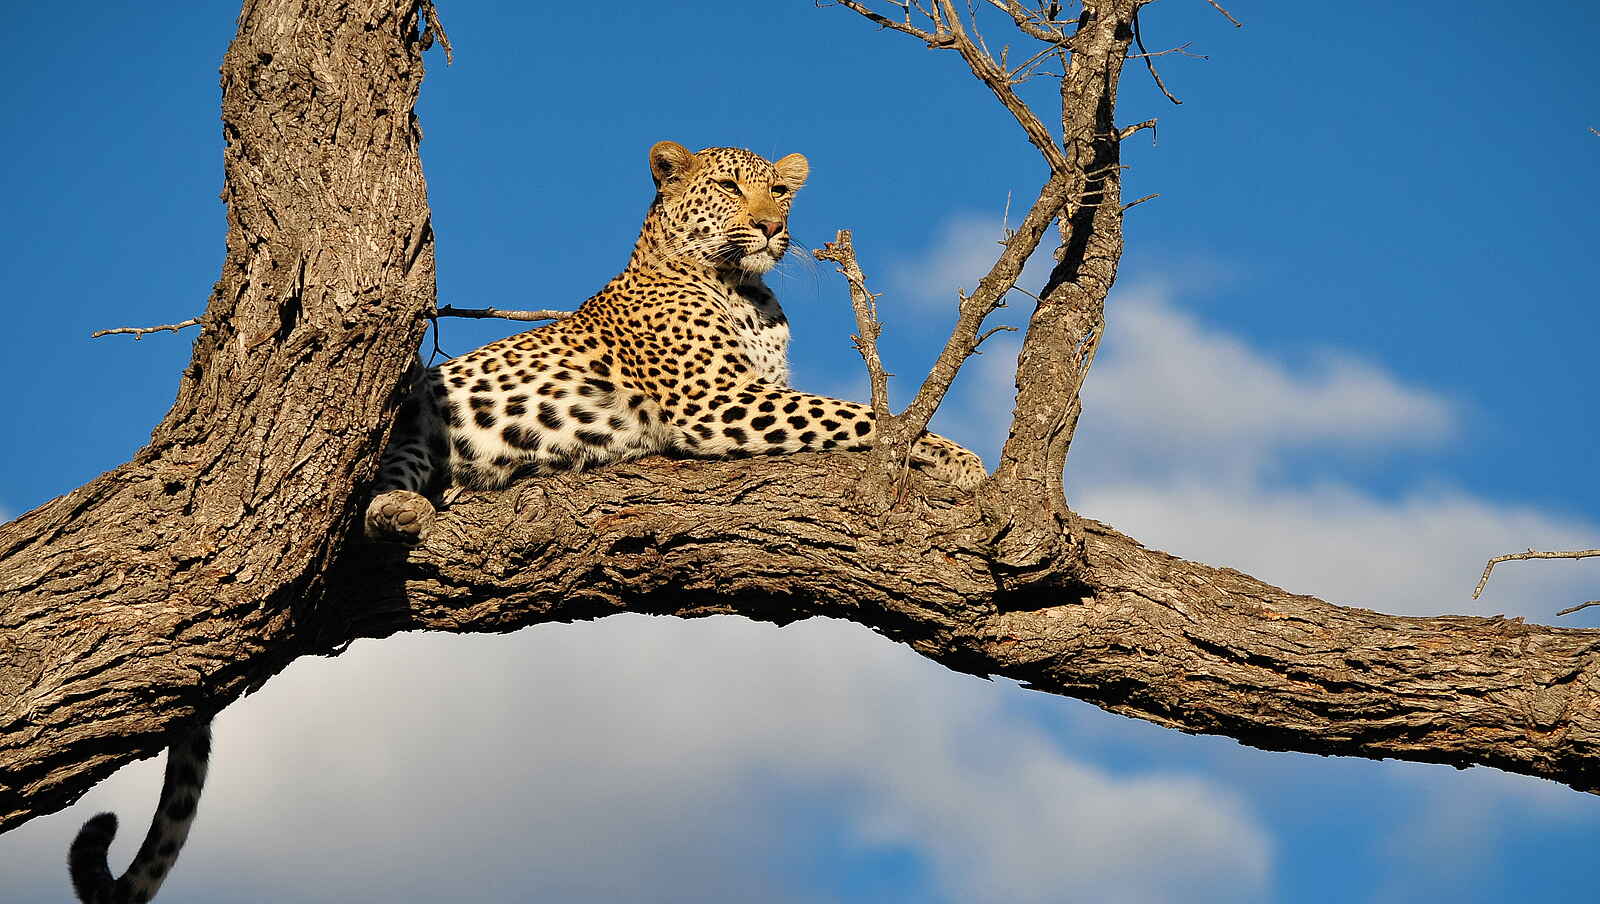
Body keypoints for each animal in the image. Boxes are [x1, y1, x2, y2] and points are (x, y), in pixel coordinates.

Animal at [67, 141, 983, 904]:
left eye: (781, 192)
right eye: (729, 188)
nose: (770, 226)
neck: (747, 292)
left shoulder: (746, 393)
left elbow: (849, 414)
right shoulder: (716, 402)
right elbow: (856, 416)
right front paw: (962, 462)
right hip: (406, 421)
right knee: (368, 498)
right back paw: (406, 508)